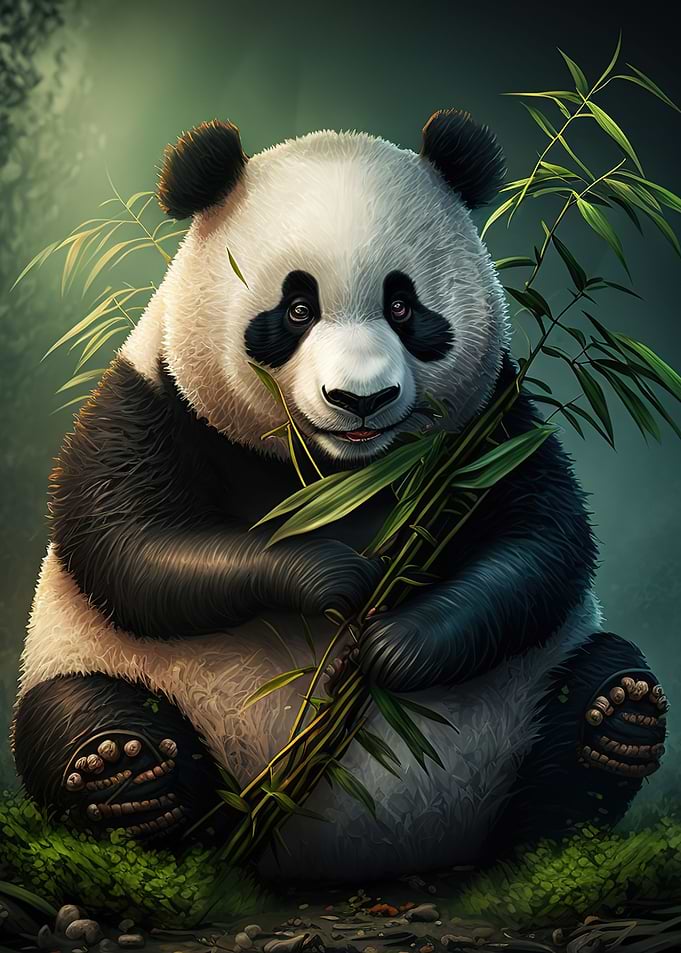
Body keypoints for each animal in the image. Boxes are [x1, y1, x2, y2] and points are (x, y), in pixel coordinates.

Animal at [12, 111, 668, 882]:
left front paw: (398, 643)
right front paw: (331, 576)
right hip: (99, 669)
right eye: (297, 308)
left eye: (403, 304)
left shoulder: (489, 429)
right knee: (71, 714)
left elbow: (539, 543)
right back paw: (129, 778)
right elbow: (129, 546)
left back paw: (615, 728)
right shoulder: (157, 398)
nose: (361, 399)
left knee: (589, 689)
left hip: (525, 711)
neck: (344, 474)